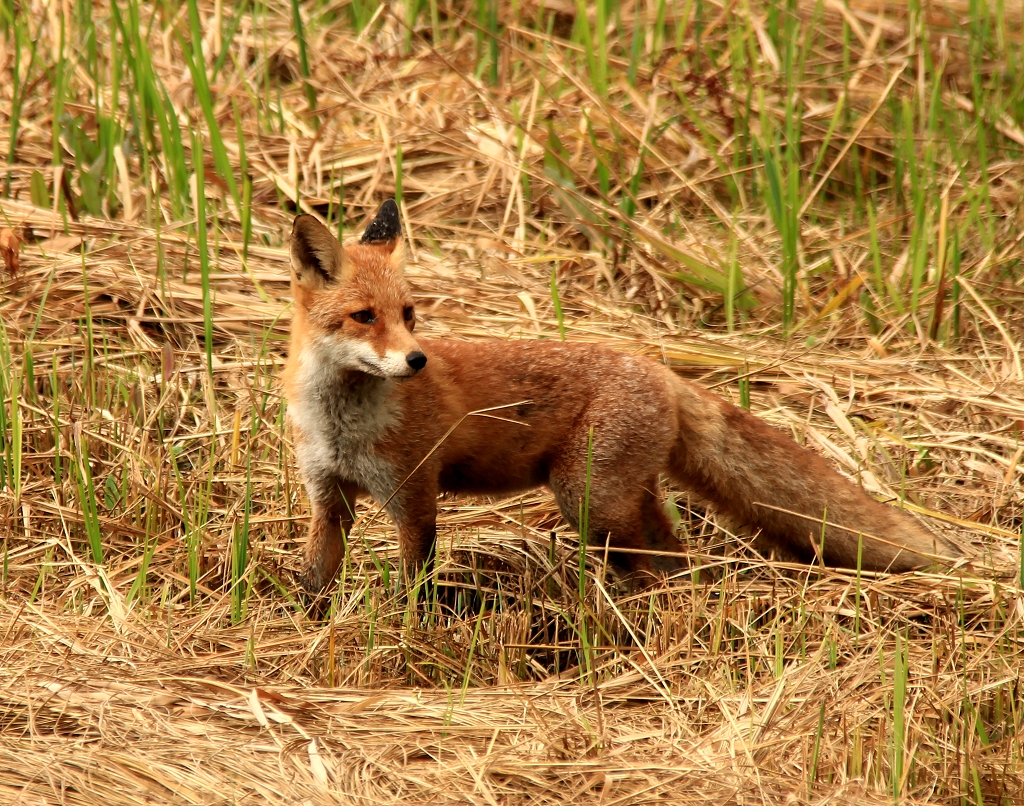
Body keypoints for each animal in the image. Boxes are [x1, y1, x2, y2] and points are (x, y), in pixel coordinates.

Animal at [282, 199, 958, 594]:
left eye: (409, 315)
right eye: (364, 317)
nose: (417, 361)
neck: (342, 426)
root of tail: (657, 368)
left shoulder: (415, 499)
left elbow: (412, 592)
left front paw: (407, 636)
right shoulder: (327, 499)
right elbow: (315, 580)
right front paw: (306, 628)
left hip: (589, 500)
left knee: (655, 562)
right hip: (619, 498)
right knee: (676, 557)